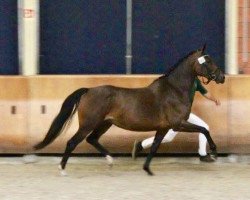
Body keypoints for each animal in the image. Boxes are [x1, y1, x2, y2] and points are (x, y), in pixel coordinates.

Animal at [34, 45, 225, 175]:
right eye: (208, 61)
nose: (222, 77)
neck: (174, 90)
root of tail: (88, 90)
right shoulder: (178, 124)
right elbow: (204, 129)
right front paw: (214, 150)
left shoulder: (163, 128)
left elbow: (154, 146)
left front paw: (147, 169)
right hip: (89, 124)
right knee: (72, 142)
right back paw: (62, 169)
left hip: (104, 124)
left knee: (92, 139)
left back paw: (110, 161)